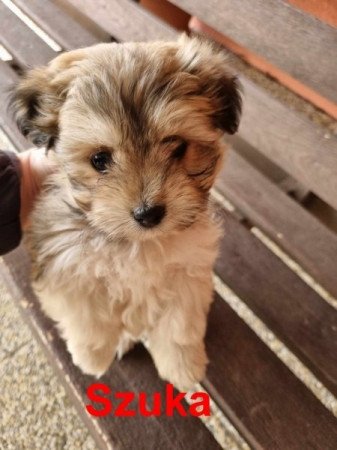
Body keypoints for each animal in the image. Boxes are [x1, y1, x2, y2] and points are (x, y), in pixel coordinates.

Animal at [11, 35, 242, 390]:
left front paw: (182, 367)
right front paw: (92, 356)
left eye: (177, 146)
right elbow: (86, 317)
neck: (136, 244)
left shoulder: (187, 273)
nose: (148, 213)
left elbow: (179, 326)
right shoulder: (67, 267)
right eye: (99, 160)